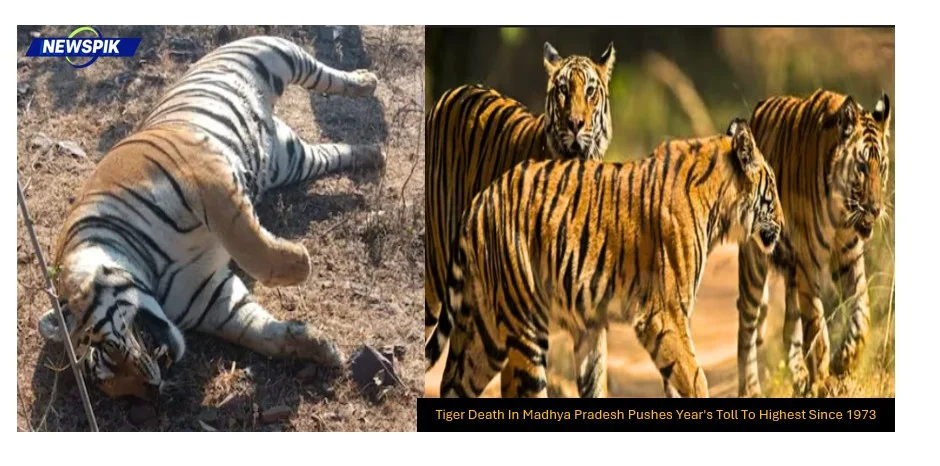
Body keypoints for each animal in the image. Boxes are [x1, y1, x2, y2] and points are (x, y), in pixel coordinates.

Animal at [35, 36, 386, 401]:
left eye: (108, 352)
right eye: (117, 389)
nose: (154, 388)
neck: (151, 275)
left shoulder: (202, 174)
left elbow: (246, 241)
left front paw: (300, 264)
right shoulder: (209, 299)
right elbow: (258, 332)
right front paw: (321, 349)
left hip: (275, 55)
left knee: (323, 75)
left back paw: (365, 81)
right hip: (293, 160)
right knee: (333, 152)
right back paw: (373, 154)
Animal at [426, 118, 785, 398]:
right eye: (772, 188)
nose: (782, 224)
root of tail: (480, 200)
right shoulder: (664, 314)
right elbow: (695, 379)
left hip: (483, 333)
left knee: (453, 382)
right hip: (524, 324)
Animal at [736, 89, 892, 397]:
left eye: (882, 167)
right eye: (861, 166)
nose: (876, 209)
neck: (843, 214)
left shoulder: (849, 258)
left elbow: (862, 314)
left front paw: (844, 361)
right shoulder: (809, 262)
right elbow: (817, 328)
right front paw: (823, 379)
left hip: (792, 274)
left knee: (789, 331)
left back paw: (800, 380)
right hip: (754, 266)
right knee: (746, 331)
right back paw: (751, 390)